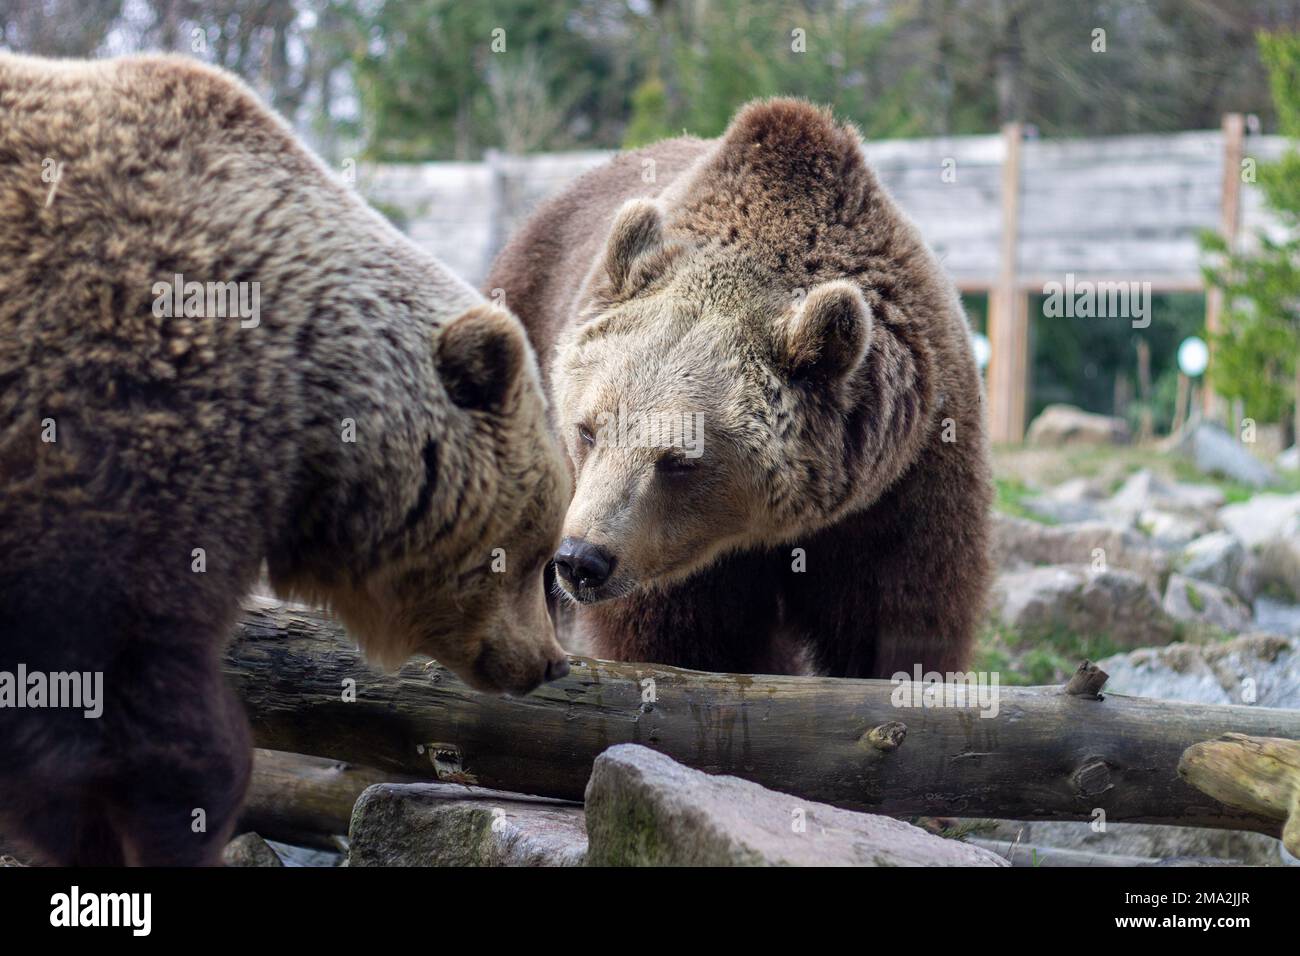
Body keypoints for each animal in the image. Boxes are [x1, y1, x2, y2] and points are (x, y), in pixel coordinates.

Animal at [488, 97, 993, 681]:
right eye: (588, 431)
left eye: (679, 458)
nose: (581, 559)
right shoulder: (676, 560)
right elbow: (689, 645)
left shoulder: (906, 482)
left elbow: (900, 621)